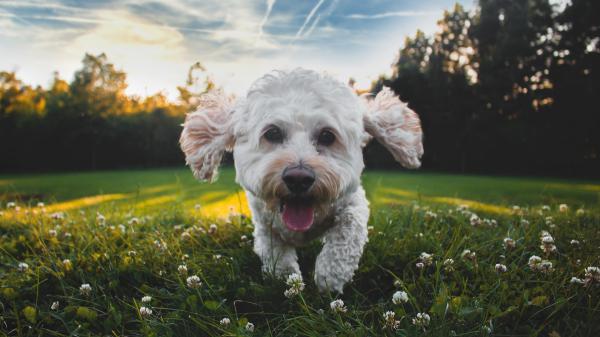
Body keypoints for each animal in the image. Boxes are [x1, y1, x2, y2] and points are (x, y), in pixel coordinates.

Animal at [178, 68, 422, 292]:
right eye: (272, 133)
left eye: (327, 136)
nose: (298, 178)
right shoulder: (264, 223)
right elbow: (276, 253)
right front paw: (287, 280)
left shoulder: (353, 202)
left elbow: (347, 233)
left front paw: (329, 276)